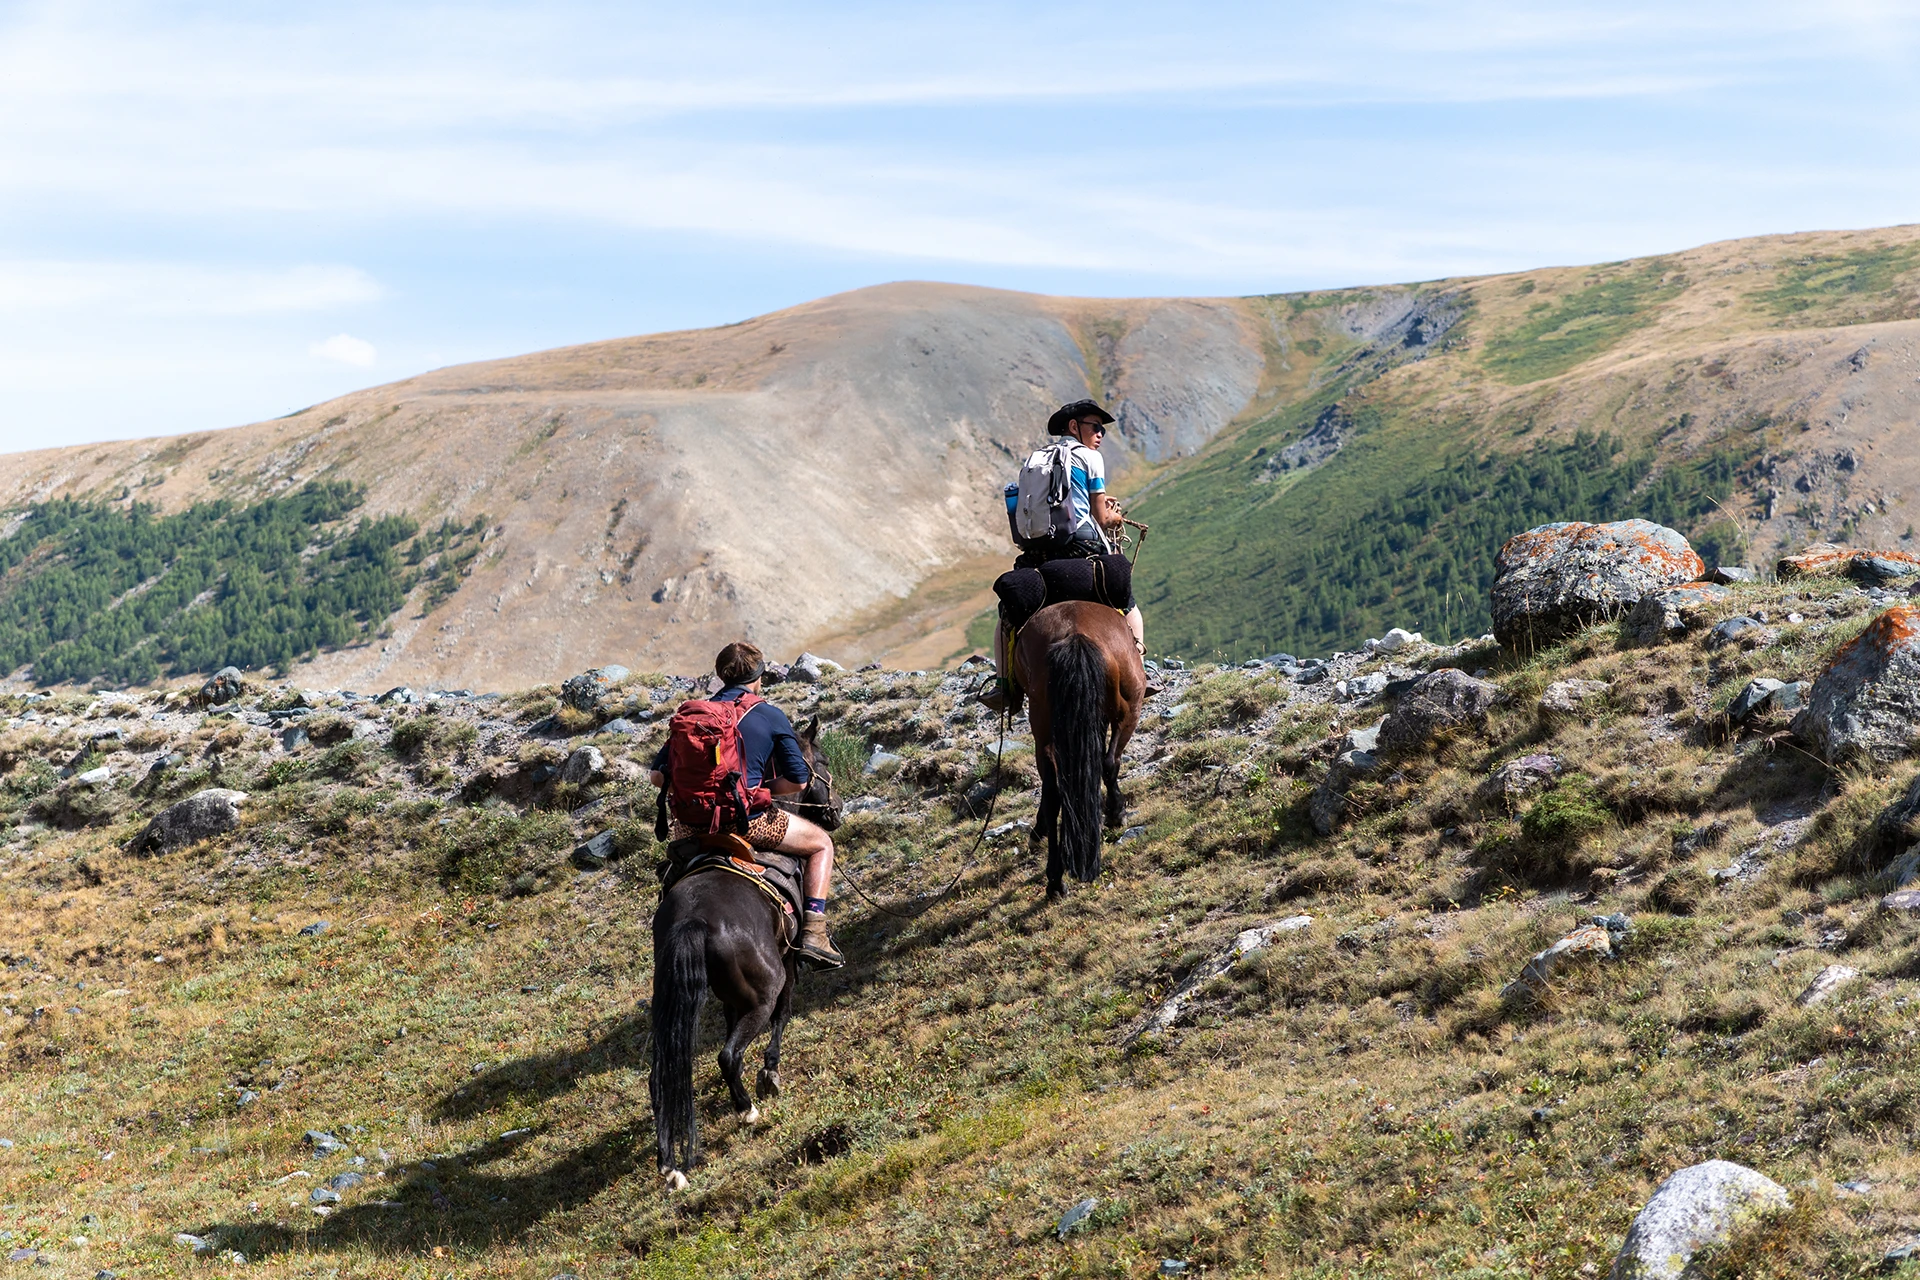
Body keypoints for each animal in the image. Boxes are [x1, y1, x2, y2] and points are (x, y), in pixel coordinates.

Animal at [649, 717, 840, 1190]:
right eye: (822, 760)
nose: (836, 811)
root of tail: (693, 920)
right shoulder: (787, 963)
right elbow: (784, 1016)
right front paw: (770, 1074)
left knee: (661, 1074)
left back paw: (670, 1166)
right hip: (763, 989)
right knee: (729, 1053)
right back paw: (747, 1111)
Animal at [1011, 599, 1147, 898]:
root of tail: (1076, 634)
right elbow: (1110, 762)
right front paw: (1115, 812)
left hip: (1046, 731)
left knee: (1054, 793)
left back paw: (1055, 880)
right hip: (1129, 709)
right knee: (1108, 762)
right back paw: (1114, 814)